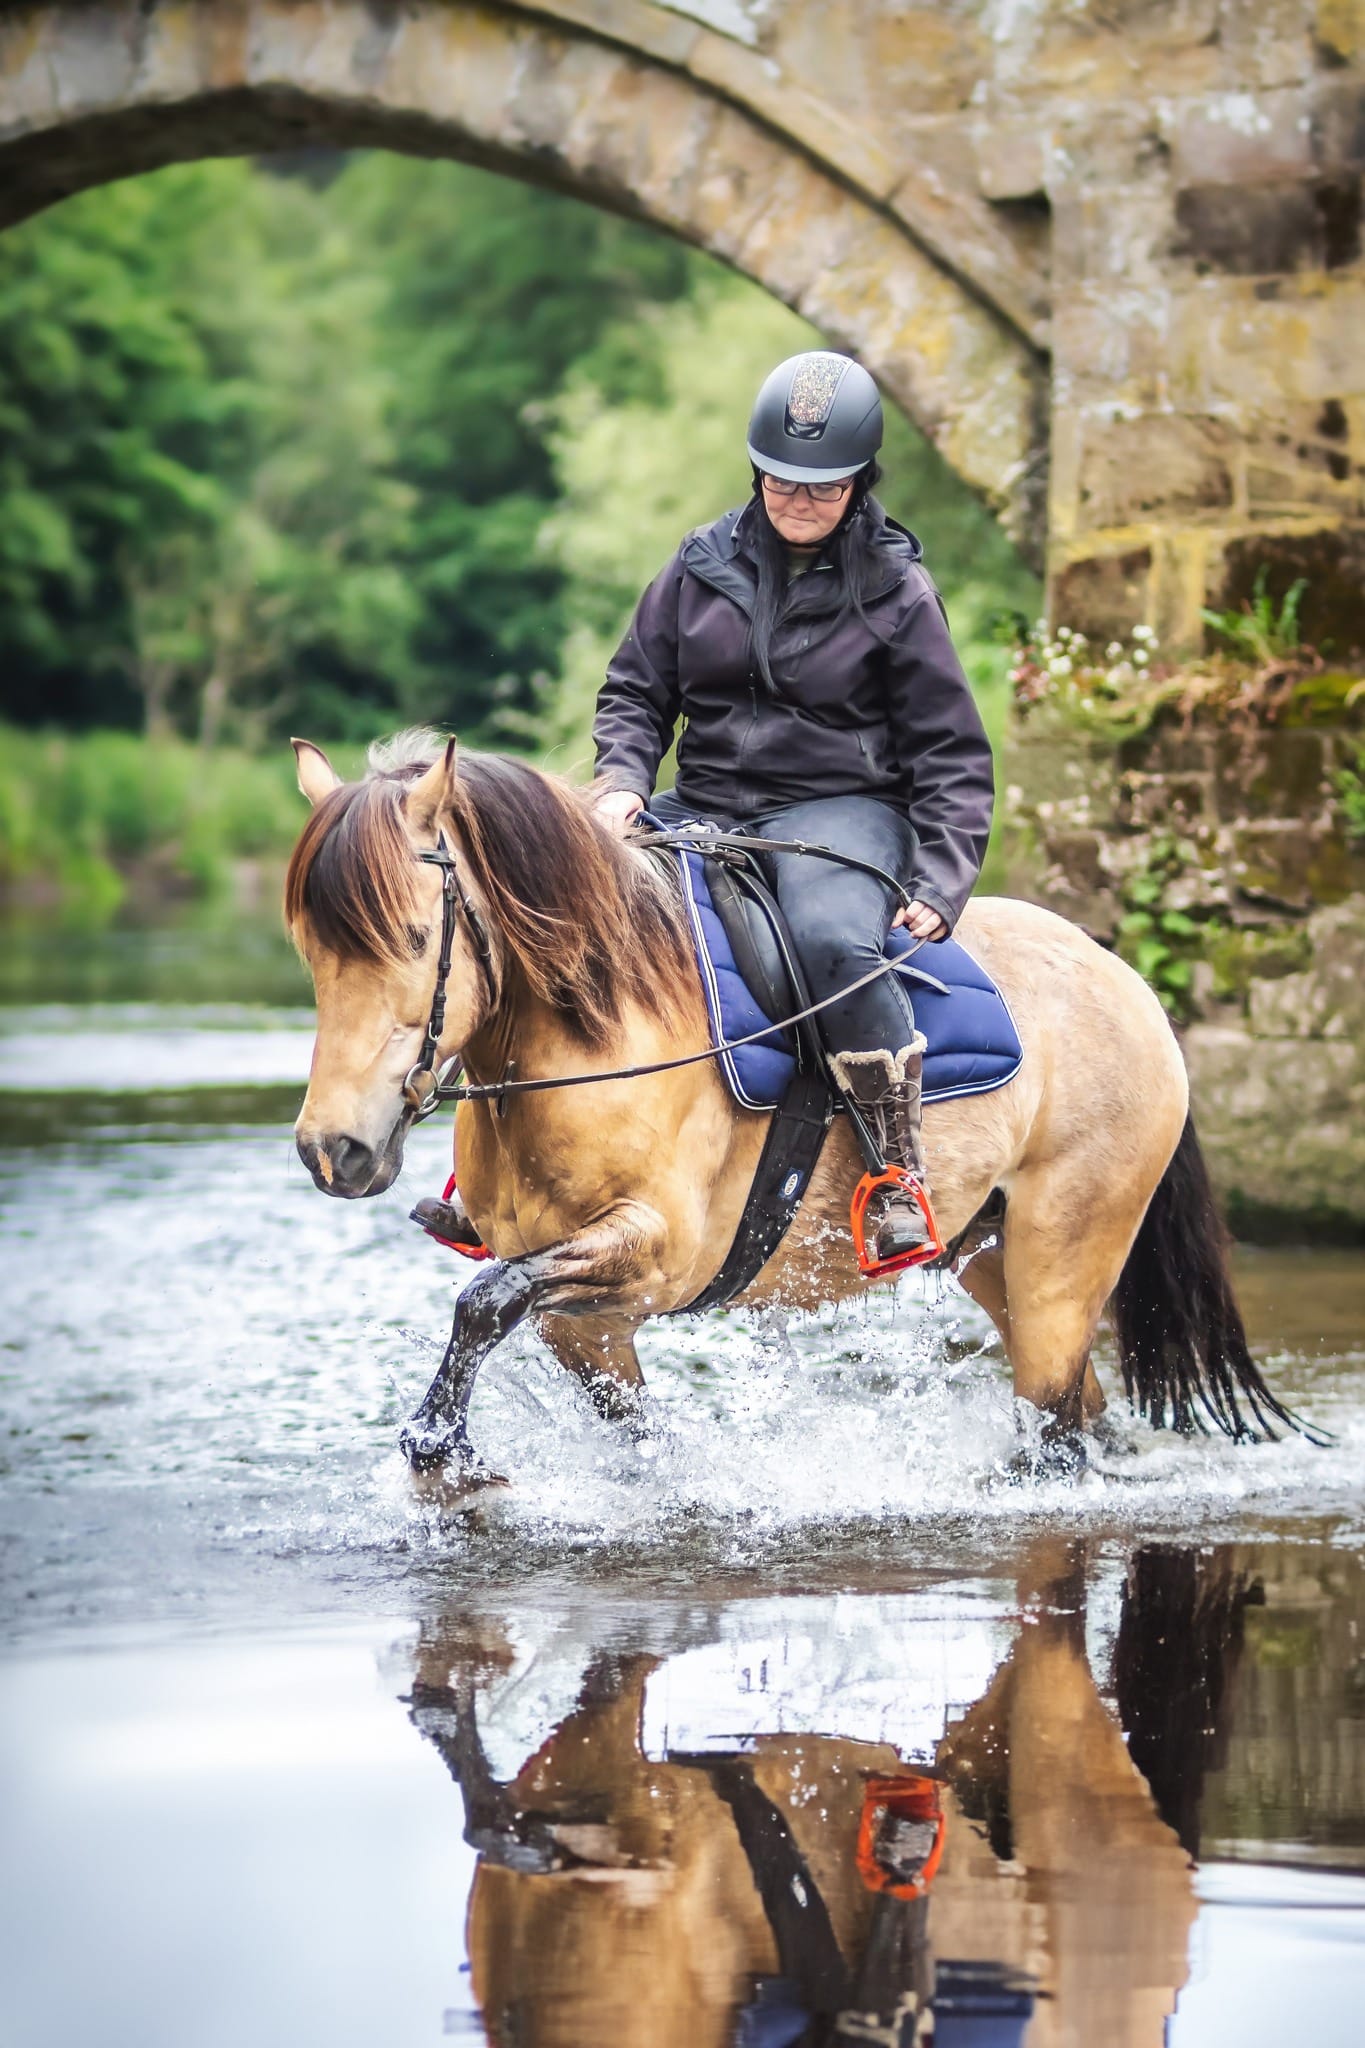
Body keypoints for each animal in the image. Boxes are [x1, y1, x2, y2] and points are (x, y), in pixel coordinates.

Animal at [286, 729, 1301, 1482]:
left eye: (414, 937)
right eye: (309, 947)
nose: (332, 1150)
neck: (596, 1036)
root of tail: (1124, 979)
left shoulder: (654, 1256)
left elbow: (483, 1299)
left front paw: (436, 1443)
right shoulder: (587, 1319)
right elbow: (614, 1416)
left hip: (1068, 1250)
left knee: (1051, 1429)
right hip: (989, 1252)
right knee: (1076, 1409)